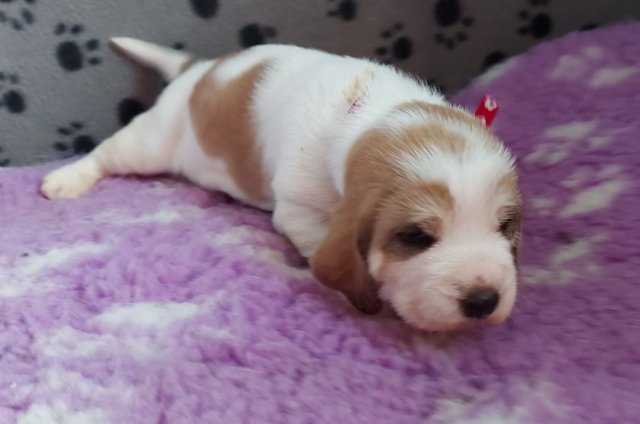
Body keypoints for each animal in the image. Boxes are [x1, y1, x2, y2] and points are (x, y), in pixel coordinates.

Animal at [41, 39, 522, 331]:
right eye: (417, 236)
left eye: (504, 227)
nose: (484, 300)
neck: (376, 114)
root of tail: (199, 69)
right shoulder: (298, 210)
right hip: (152, 141)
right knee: (108, 153)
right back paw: (66, 179)